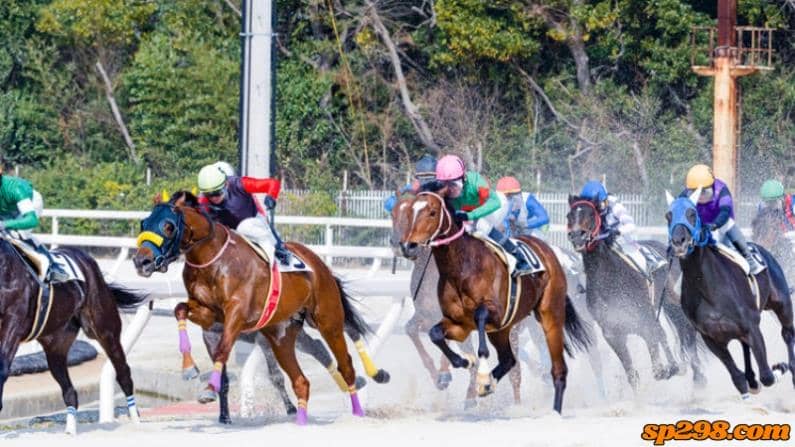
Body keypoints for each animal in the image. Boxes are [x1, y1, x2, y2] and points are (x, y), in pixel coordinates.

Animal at [0, 234, 148, 435]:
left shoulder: (13, 324)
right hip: (56, 348)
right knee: (70, 391)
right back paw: (70, 431)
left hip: (105, 331)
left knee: (123, 373)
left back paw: (136, 420)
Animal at [132, 191, 378, 425]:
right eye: (144, 223)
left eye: (168, 226)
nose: (141, 261)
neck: (213, 259)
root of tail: (320, 265)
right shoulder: (210, 314)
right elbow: (180, 310)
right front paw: (189, 369)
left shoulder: (237, 313)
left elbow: (223, 349)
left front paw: (209, 390)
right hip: (280, 336)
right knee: (300, 380)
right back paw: (300, 421)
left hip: (328, 321)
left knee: (345, 366)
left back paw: (358, 412)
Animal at [393, 187, 592, 413]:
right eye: (404, 212)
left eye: (432, 213)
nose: (407, 246)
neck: (461, 267)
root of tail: (549, 251)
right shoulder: (456, 322)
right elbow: (435, 334)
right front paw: (463, 365)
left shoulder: (494, 313)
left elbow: (480, 322)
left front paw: (473, 374)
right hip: (504, 330)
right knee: (509, 360)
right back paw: (488, 383)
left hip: (549, 317)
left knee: (553, 368)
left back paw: (551, 410)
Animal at [566, 196, 705, 390]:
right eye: (569, 215)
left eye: (591, 214)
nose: (577, 236)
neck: (609, 278)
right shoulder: (612, 332)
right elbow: (632, 374)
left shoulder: (644, 319)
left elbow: (656, 344)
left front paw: (667, 369)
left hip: (674, 305)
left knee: (687, 335)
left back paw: (697, 379)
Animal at [666, 190, 795, 394]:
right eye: (668, 216)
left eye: (692, 214)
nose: (679, 241)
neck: (708, 289)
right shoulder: (712, 338)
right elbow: (737, 378)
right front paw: (749, 383)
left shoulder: (752, 328)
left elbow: (767, 375)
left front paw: (779, 368)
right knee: (745, 348)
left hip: (782, 304)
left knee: (788, 334)